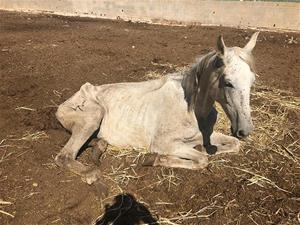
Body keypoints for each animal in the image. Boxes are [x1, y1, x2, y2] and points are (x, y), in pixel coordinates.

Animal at [55, 31, 258, 190]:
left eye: (252, 80)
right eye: (228, 82)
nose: (245, 130)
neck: (192, 110)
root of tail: (64, 104)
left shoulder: (207, 134)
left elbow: (232, 145)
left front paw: (202, 146)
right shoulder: (162, 143)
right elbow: (202, 159)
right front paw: (154, 160)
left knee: (93, 142)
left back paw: (99, 147)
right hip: (93, 116)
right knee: (64, 156)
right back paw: (91, 173)